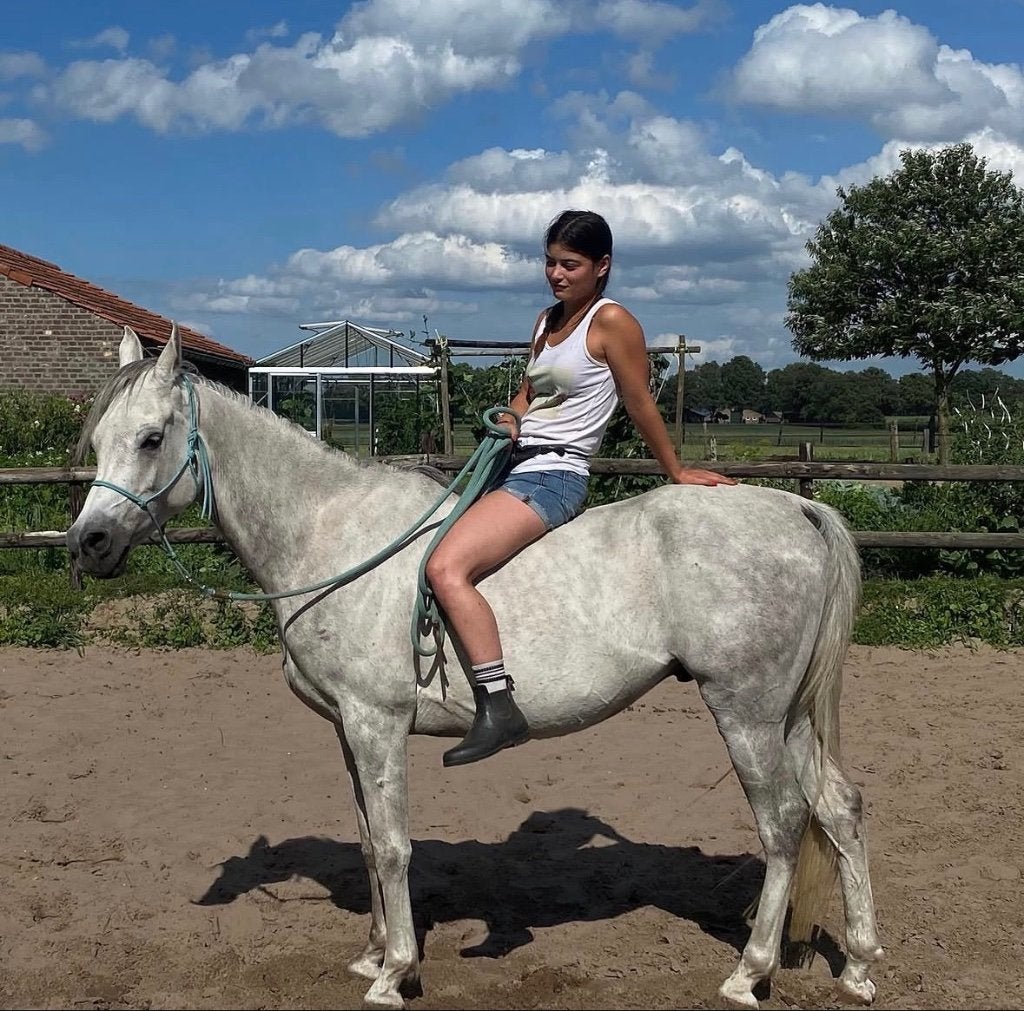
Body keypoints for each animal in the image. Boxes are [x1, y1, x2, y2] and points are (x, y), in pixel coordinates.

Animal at [66, 325, 883, 1009]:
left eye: (151, 438)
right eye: (99, 438)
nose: (89, 543)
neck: (332, 537)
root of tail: (797, 509)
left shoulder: (377, 723)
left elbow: (393, 845)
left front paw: (395, 972)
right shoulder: (346, 729)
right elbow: (366, 838)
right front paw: (372, 954)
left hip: (745, 711)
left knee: (782, 823)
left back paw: (750, 972)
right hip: (788, 715)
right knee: (838, 807)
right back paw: (859, 964)